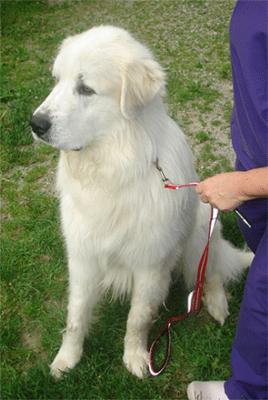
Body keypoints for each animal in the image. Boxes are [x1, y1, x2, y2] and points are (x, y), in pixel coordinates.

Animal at [30, 25, 252, 382]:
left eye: (86, 88)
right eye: (56, 80)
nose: (35, 123)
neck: (113, 169)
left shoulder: (150, 265)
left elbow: (138, 318)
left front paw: (135, 358)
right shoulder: (83, 258)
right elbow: (75, 316)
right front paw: (66, 360)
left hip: (199, 233)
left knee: (211, 272)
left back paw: (217, 306)